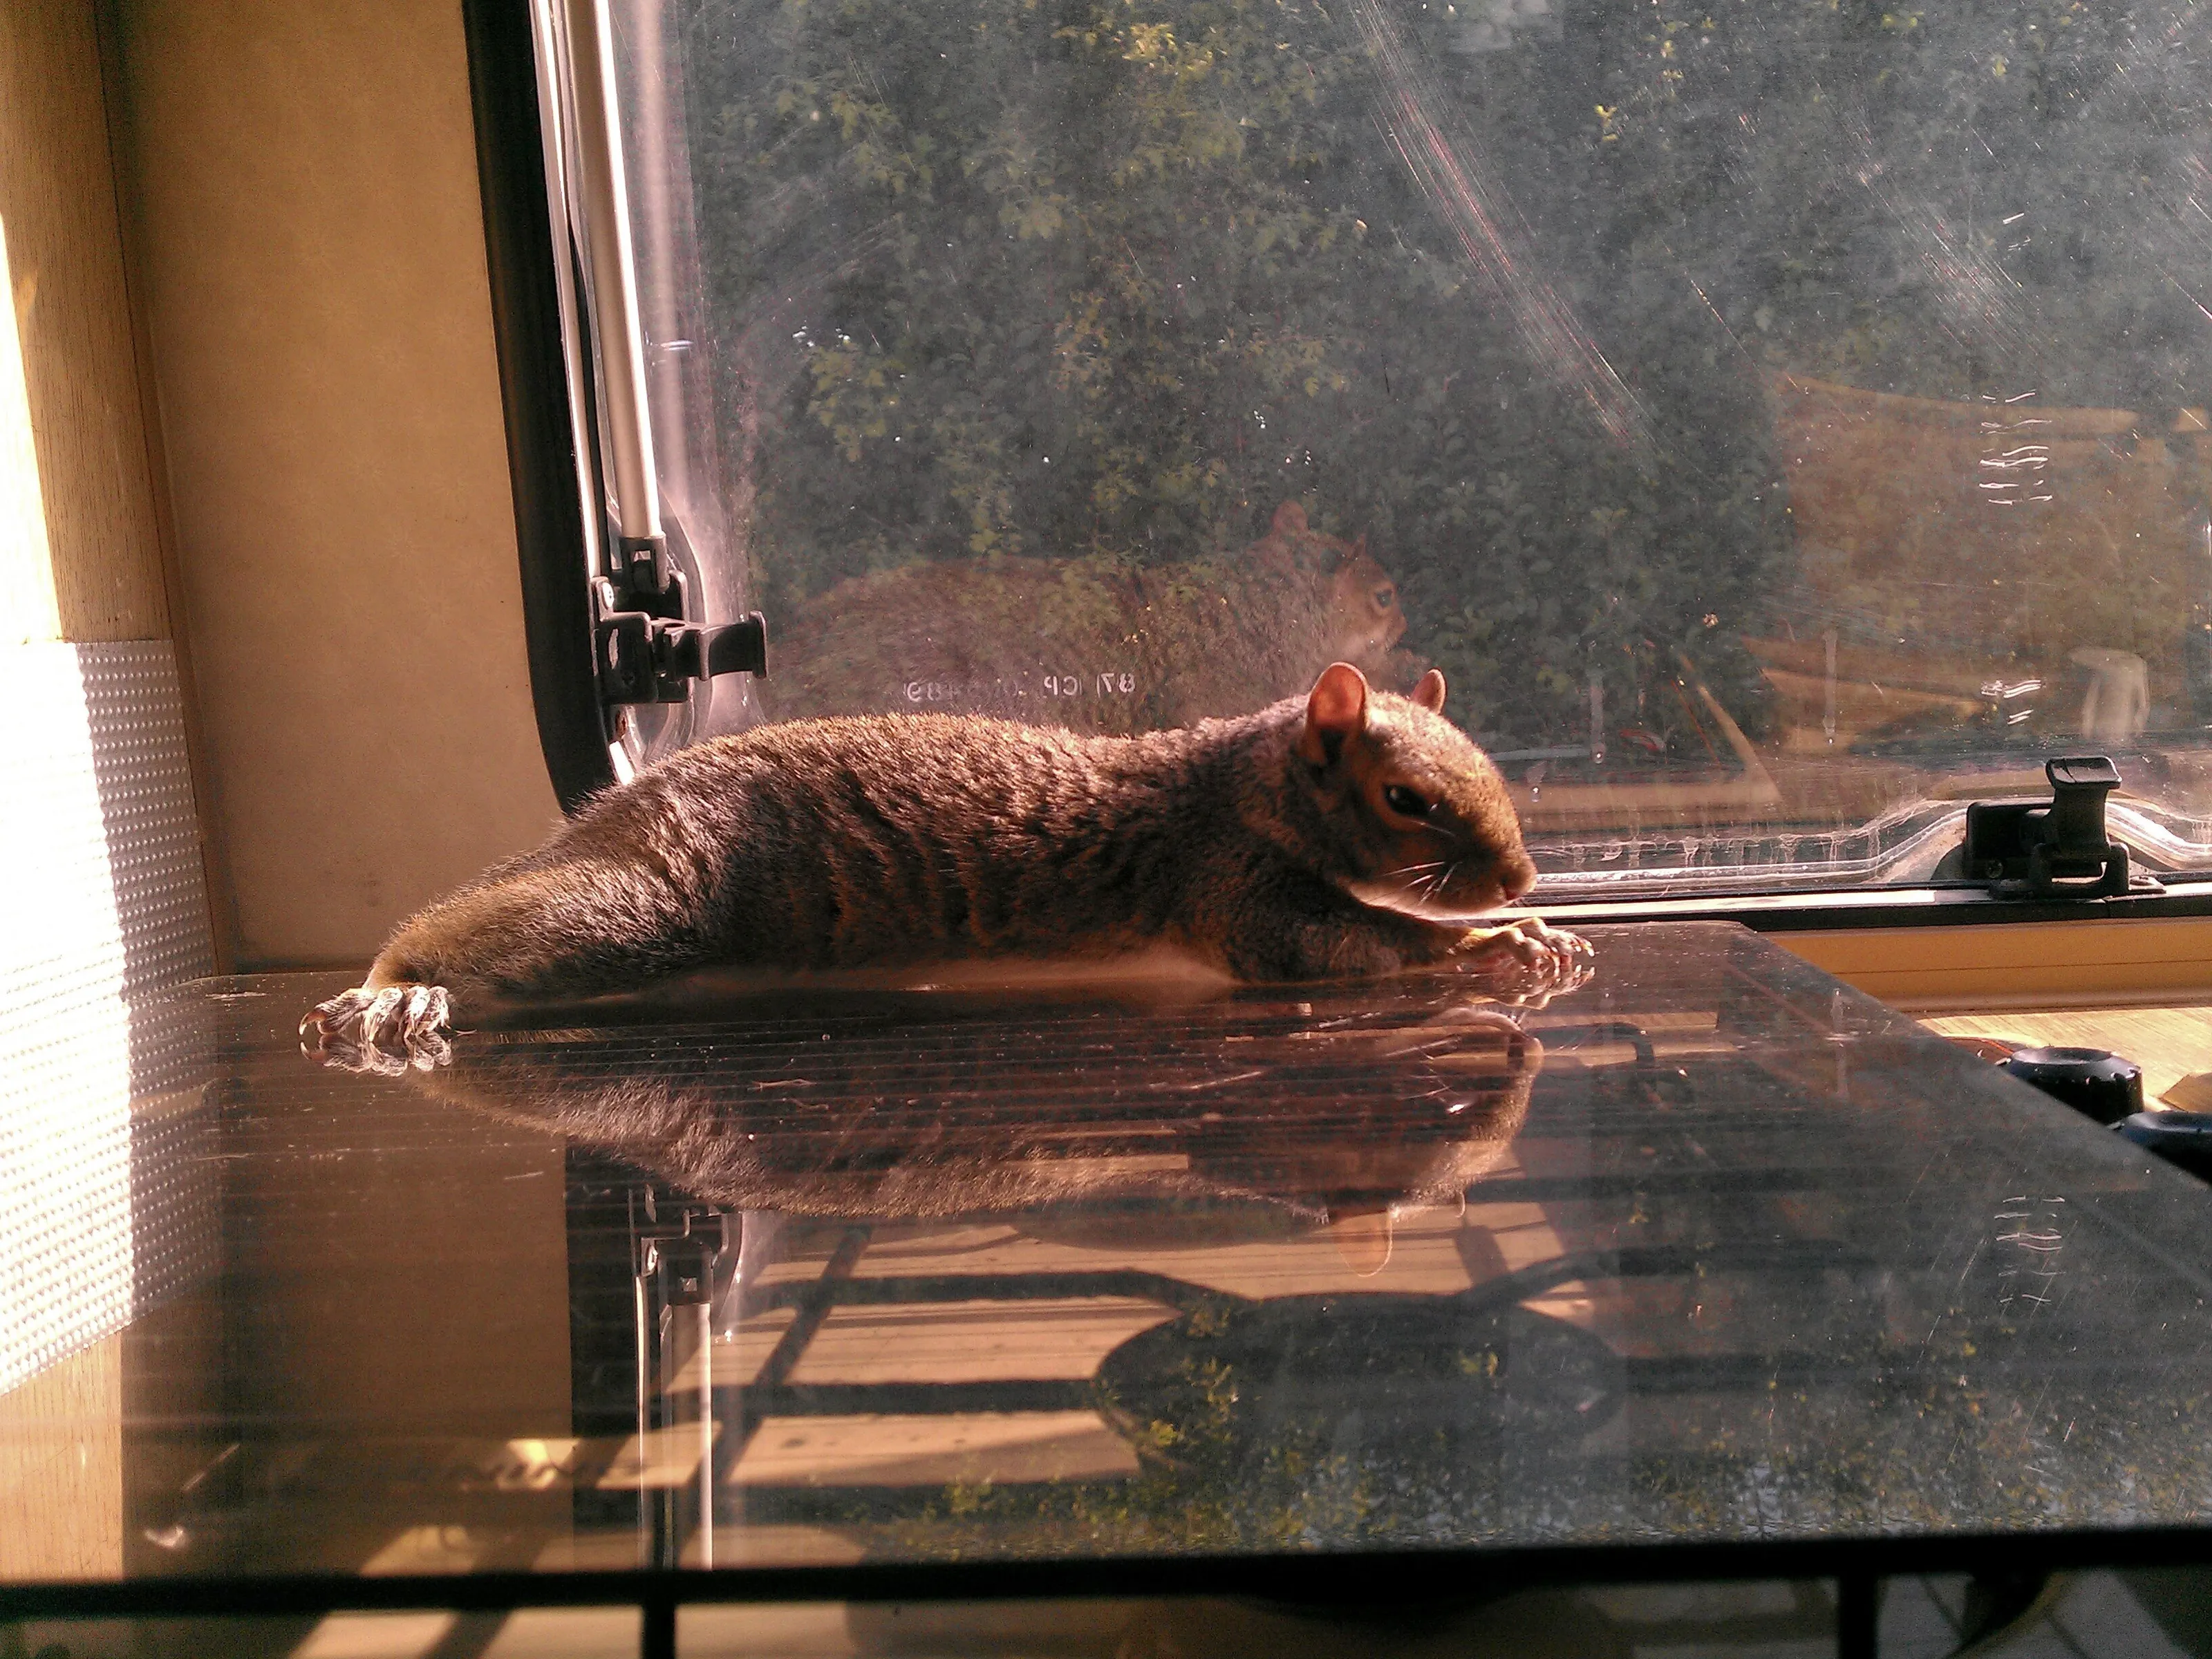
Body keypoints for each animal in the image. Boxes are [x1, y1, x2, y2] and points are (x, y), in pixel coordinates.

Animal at [303, 660, 1589, 1070]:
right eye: (1407, 801)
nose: (1523, 881)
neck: (1240, 781)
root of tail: (607, 814)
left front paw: (1531, 932)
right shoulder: (1225, 879)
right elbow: (1338, 943)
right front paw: (1491, 945)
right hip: (651, 903)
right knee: (465, 930)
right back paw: (393, 991)